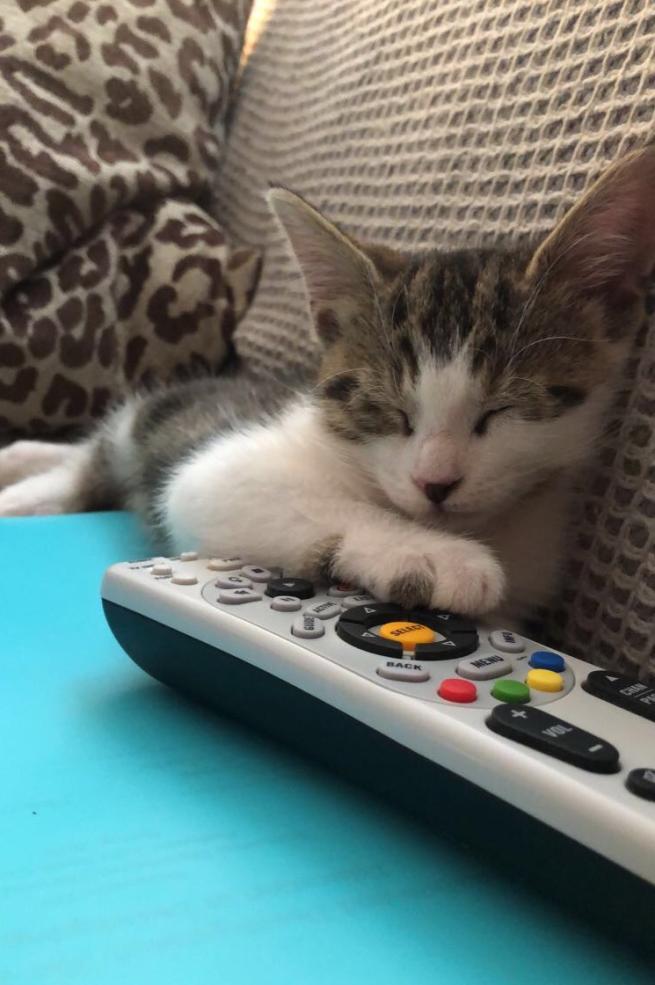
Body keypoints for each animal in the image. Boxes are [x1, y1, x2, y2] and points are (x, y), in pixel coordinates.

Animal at [1, 145, 655, 624]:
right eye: (388, 410)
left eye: (503, 410)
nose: (435, 483)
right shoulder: (212, 473)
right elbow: (269, 493)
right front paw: (434, 555)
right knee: (88, 460)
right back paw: (23, 483)